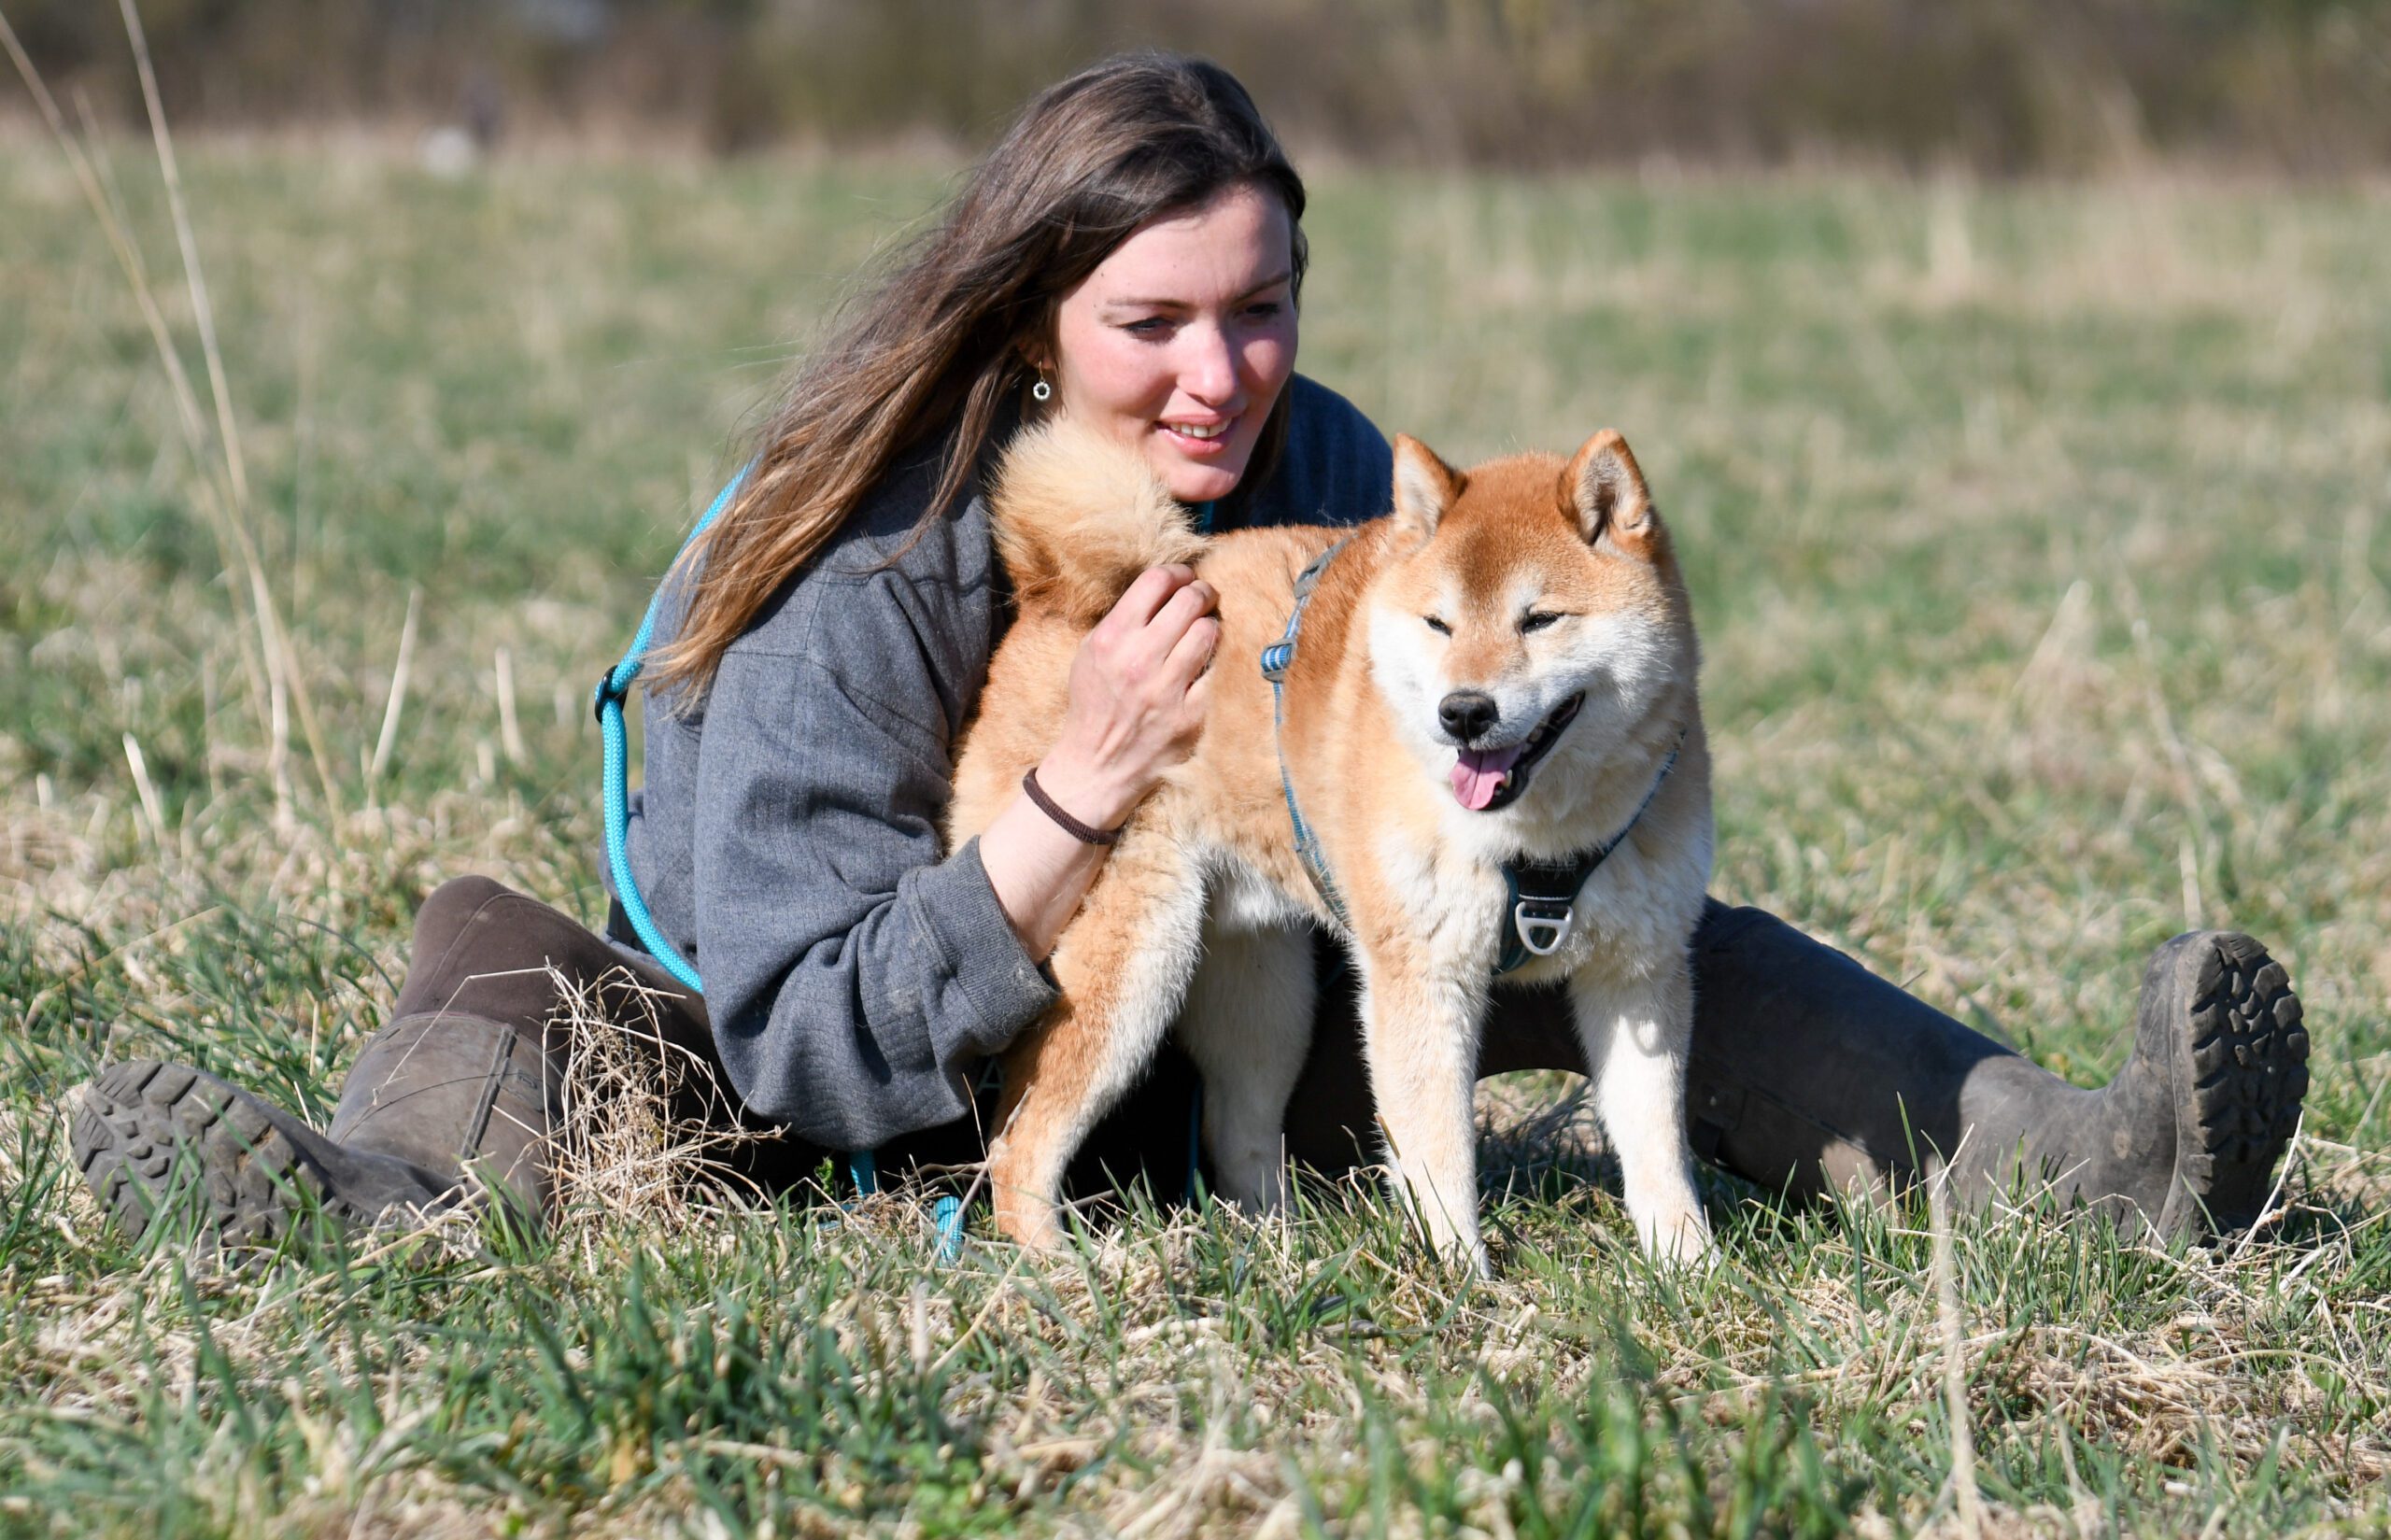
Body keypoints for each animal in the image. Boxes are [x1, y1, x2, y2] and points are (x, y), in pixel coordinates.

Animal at [947, 418, 1715, 1271]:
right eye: (1439, 624)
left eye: (1540, 619)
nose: (1463, 712)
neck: (1543, 842)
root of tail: (1057, 598)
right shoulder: (1421, 975)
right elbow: (1438, 1151)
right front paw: (1464, 1278)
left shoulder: (1638, 973)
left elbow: (1657, 1149)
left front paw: (1689, 1270)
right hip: (1134, 967)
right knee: (1017, 1144)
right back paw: (1070, 1262)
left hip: (1264, 997)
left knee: (1235, 1131)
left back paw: (1279, 1246)